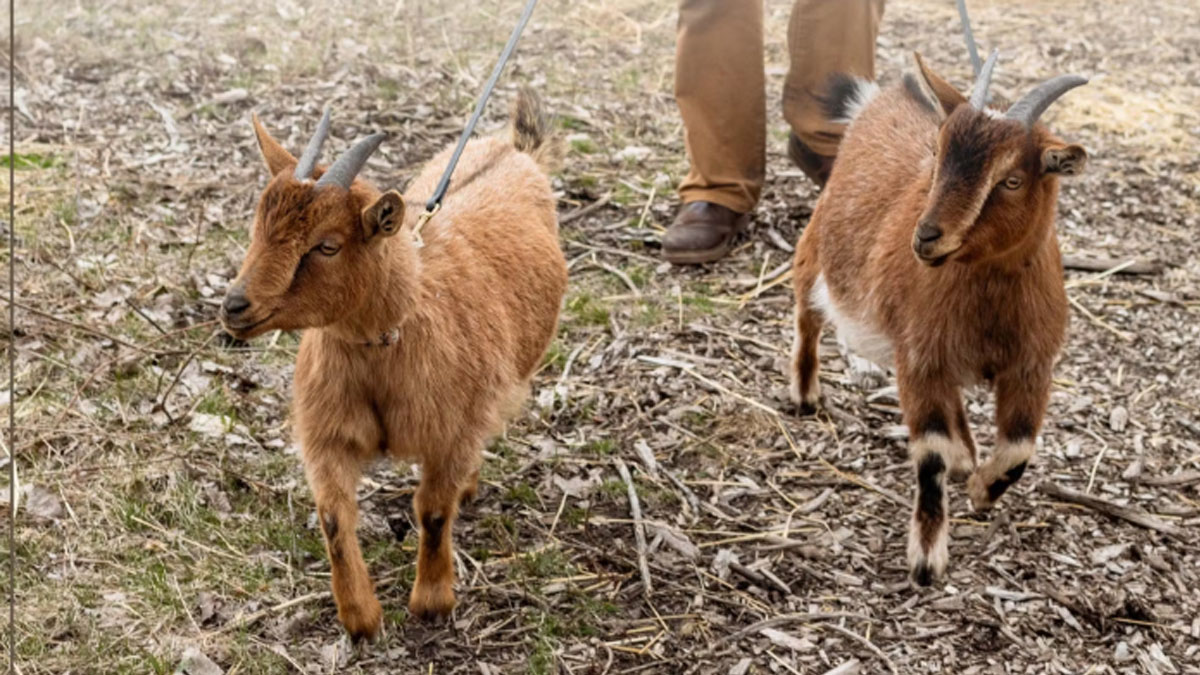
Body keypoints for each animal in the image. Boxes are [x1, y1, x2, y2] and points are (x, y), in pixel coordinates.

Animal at [219, 90, 567, 640]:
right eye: (257, 227)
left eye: (326, 245)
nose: (234, 306)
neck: (385, 350)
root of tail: (514, 149)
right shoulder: (327, 437)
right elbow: (334, 517)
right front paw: (361, 619)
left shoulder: (450, 433)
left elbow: (434, 512)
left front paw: (432, 602)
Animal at [789, 51, 1088, 585]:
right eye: (938, 155)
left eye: (1012, 180)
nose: (926, 236)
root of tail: (877, 100)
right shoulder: (917, 358)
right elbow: (928, 456)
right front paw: (926, 560)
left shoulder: (1031, 366)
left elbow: (1018, 451)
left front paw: (982, 490)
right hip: (817, 245)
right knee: (807, 312)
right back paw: (804, 393)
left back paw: (966, 458)